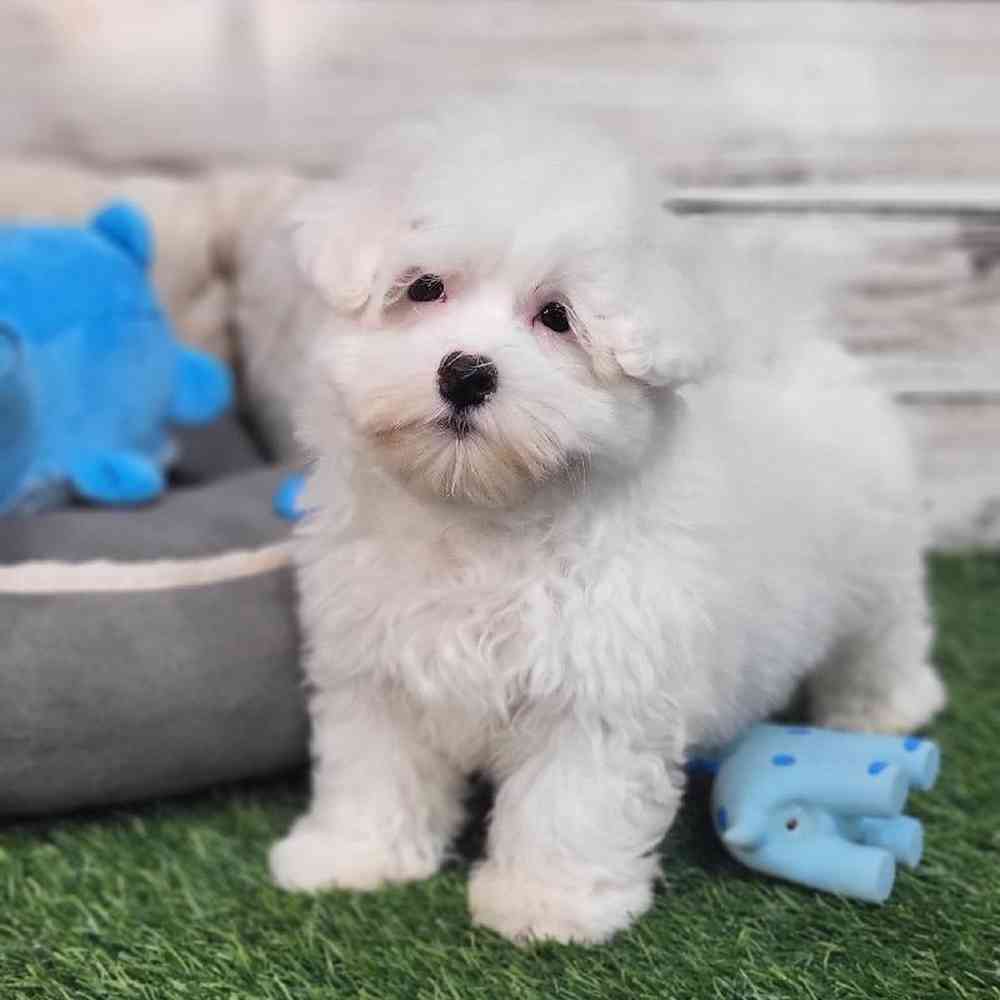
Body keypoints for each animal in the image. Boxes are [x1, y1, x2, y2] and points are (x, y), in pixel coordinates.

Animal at [264, 111, 944, 944]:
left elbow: (568, 801)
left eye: (556, 318)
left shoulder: (598, 687)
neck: (483, 516)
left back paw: (886, 707)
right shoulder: (373, 663)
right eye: (424, 288)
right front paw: (351, 855)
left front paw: (547, 902)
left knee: (883, 639)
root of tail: (797, 342)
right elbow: (374, 766)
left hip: (877, 571)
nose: (465, 372)